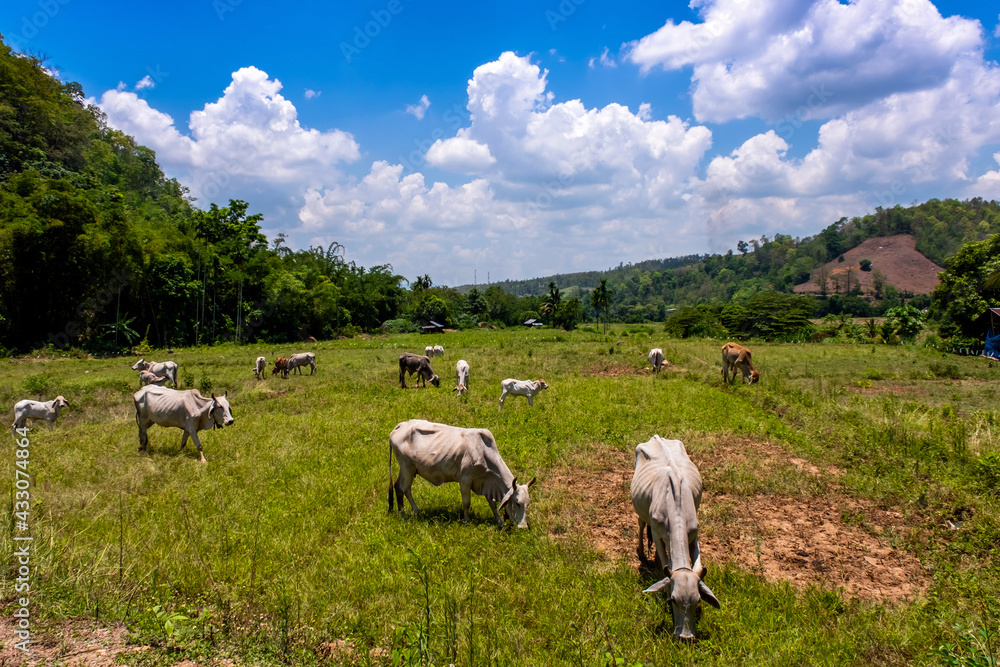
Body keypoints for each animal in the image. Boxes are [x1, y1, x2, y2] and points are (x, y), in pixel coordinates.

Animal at [388, 419, 535, 528]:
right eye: (517, 503)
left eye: (528, 504)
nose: (523, 527)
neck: (484, 452)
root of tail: (401, 425)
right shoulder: (465, 479)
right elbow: (466, 503)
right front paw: (467, 521)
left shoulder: (487, 483)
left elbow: (492, 504)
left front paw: (501, 524)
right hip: (407, 466)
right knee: (405, 488)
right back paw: (415, 511)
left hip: (406, 469)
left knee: (398, 486)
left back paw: (401, 512)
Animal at [630, 435, 720, 640]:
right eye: (673, 600)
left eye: (697, 600)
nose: (685, 637)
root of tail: (657, 437)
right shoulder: (656, 533)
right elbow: (666, 561)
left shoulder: (694, 533)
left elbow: (696, 564)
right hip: (641, 512)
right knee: (641, 524)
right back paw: (641, 551)